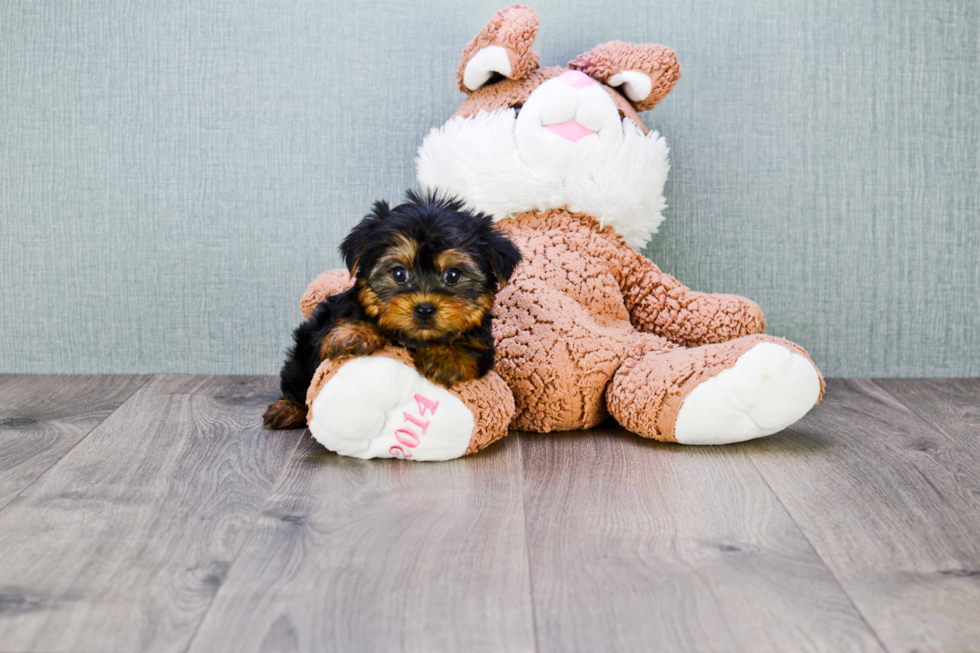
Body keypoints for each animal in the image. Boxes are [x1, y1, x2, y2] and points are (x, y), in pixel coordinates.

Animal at [260, 191, 520, 430]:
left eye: (453, 275)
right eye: (399, 273)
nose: (425, 309)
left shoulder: (484, 341)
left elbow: (472, 345)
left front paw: (447, 356)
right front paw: (354, 333)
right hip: (301, 356)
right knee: (297, 383)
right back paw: (287, 409)